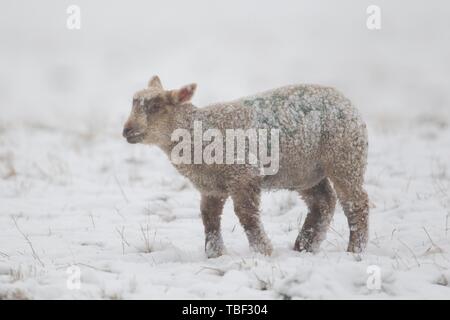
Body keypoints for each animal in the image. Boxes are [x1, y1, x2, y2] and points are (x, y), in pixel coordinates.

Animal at [122, 76, 370, 258]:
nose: (126, 130)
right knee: (323, 203)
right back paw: (304, 246)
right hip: (306, 171)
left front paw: (262, 251)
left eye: (156, 106)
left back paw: (355, 250)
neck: (196, 134)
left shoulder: (243, 174)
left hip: (345, 156)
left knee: (357, 203)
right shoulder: (211, 186)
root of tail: (346, 101)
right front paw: (215, 253)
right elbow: (209, 217)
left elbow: (246, 215)